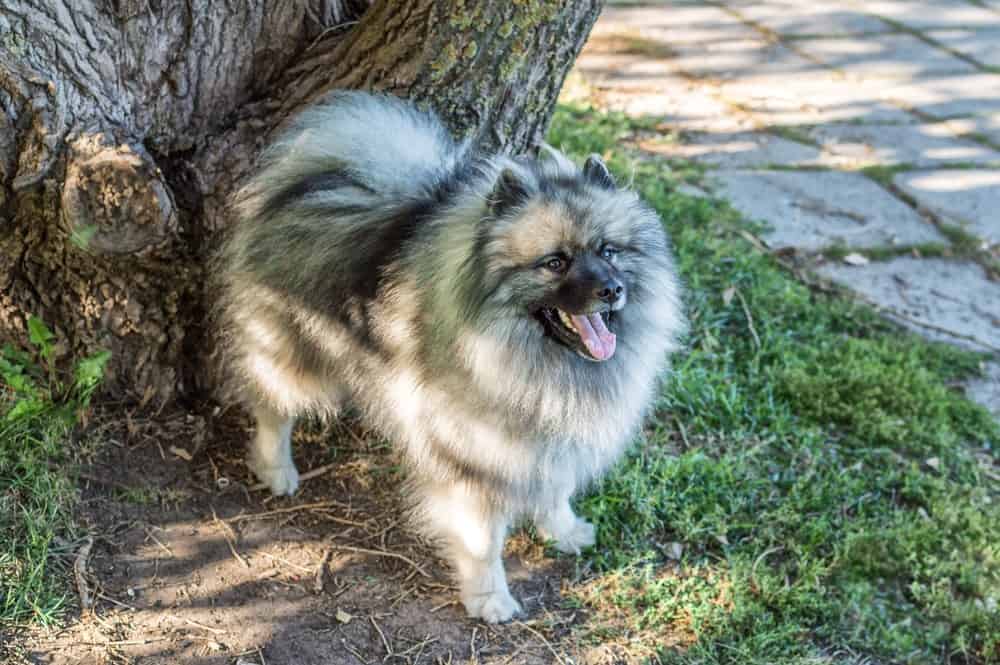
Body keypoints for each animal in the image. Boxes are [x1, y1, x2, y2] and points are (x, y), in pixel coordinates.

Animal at [217, 92, 688, 624]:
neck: (534, 357)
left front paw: (563, 530)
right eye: (555, 263)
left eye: (608, 251)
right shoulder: (472, 459)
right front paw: (489, 597)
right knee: (272, 408)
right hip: (291, 353)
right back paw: (276, 469)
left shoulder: (549, 435)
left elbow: (555, 489)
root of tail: (316, 181)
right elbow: (482, 542)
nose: (611, 289)